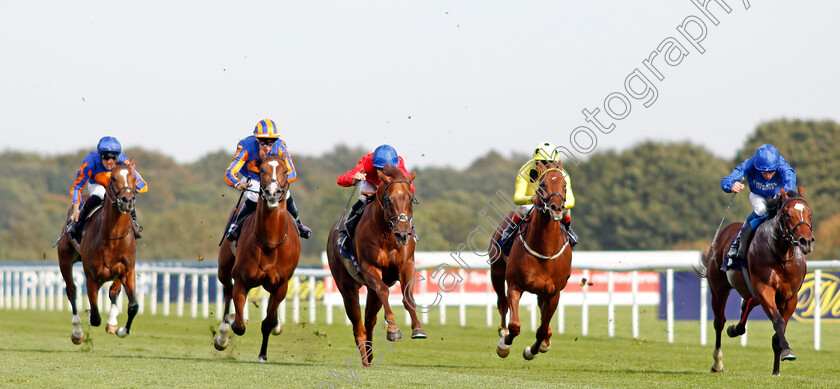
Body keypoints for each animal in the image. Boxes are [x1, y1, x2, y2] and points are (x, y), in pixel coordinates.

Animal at [56, 160, 141, 342]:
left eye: (134, 178)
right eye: (113, 178)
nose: (128, 200)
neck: (113, 237)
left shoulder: (127, 271)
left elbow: (133, 306)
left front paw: (120, 329)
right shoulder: (92, 276)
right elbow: (95, 316)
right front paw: (88, 316)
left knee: (113, 292)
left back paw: (112, 322)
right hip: (65, 259)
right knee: (71, 291)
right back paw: (77, 332)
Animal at [213, 153, 302, 362]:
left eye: (285, 170)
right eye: (262, 170)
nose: (273, 193)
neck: (270, 243)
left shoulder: (281, 284)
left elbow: (268, 322)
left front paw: (263, 353)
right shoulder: (241, 280)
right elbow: (238, 324)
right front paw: (233, 320)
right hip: (224, 269)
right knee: (227, 292)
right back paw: (223, 334)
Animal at [324, 165, 424, 366]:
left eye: (410, 197)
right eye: (388, 199)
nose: (403, 234)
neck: (388, 234)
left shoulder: (406, 264)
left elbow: (408, 295)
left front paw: (417, 328)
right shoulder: (369, 267)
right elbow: (384, 290)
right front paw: (393, 330)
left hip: (371, 291)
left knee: (369, 321)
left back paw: (369, 355)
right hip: (346, 286)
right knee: (359, 327)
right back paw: (365, 360)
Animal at [488, 159, 576, 360]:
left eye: (564, 185)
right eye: (542, 184)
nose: (557, 208)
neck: (544, 250)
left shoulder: (553, 293)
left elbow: (542, 330)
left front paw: (532, 350)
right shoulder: (514, 284)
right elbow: (514, 325)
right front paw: (504, 345)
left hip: (541, 292)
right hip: (496, 271)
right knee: (502, 304)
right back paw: (502, 333)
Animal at [700, 186, 816, 374]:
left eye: (809, 212)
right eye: (787, 213)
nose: (805, 241)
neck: (781, 256)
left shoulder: (791, 297)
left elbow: (779, 329)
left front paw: (776, 370)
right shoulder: (764, 289)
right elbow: (777, 321)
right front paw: (787, 351)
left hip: (749, 292)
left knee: (746, 305)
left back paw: (736, 329)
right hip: (718, 289)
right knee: (719, 322)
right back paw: (718, 363)